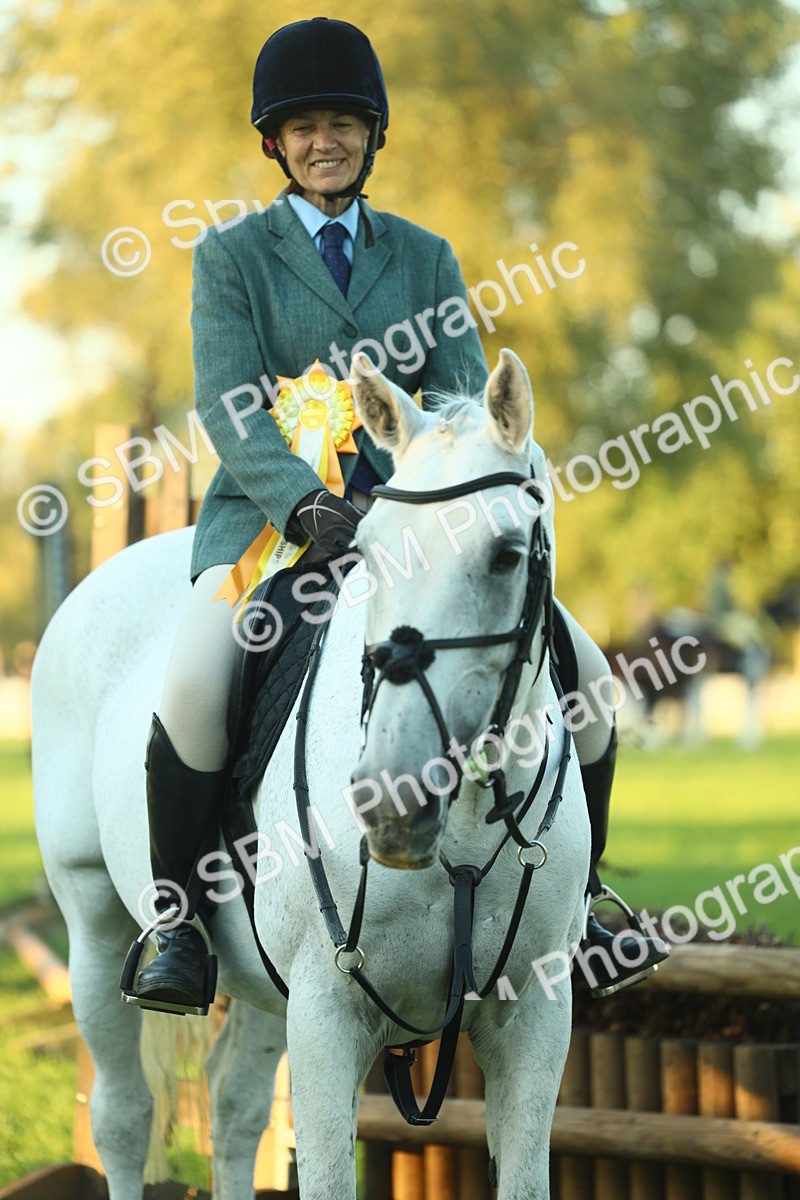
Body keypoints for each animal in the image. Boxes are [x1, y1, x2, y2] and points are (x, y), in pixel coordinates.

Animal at [31, 349, 591, 1200]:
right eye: (374, 546)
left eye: (503, 554)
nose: (392, 804)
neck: (462, 820)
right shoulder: (327, 1015)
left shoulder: (533, 1015)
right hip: (93, 919)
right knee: (123, 1116)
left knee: (232, 1107)